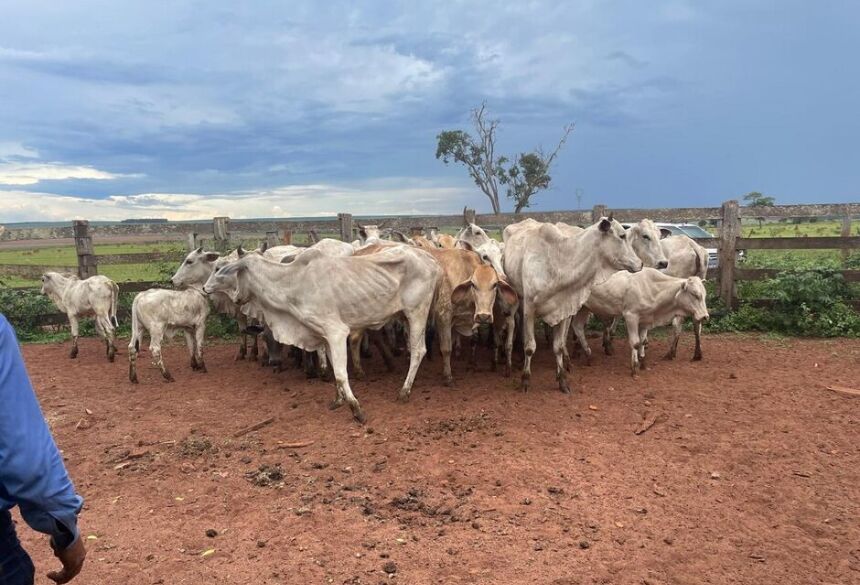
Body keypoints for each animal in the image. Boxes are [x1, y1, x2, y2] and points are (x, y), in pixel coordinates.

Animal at [204, 245, 440, 420]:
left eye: (221, 270)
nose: (205, 289)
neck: (293, 283)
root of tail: (430, 259)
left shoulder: (336, 332)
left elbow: (342, 373)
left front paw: (355, 408)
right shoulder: (324, 337)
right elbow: (334, 370)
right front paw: (338, 400)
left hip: (417, 312)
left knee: (418, 350)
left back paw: (404, 391)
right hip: (405, 316)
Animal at [500, 216, 640, 392]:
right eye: (622, 235)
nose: (640, 263)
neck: (558, 263)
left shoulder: (564, 310)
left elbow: (558, 346)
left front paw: (562, 379)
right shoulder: (529, 310)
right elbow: (530, 347)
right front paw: (525, 380)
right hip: (516, 299)